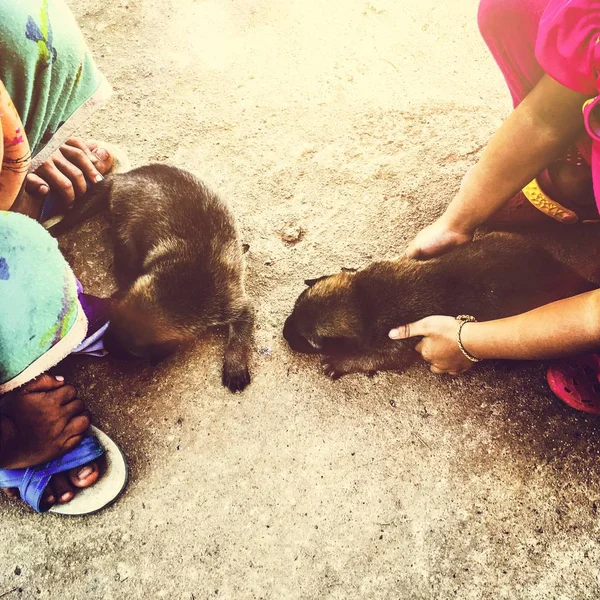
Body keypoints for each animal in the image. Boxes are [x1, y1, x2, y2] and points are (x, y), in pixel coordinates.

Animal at [48, 163, 251, 394]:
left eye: (133, 352)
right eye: (111, 324)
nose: (106, 348)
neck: (184, 287)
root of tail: (121, 178)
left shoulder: (239, 307)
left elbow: (239, 338)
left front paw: (235, 366)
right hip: (125, 236)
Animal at [284, 232, 592, 378]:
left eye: (310, 343)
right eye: (294, 308)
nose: (284, 334)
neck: (363, 301)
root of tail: (559, 270)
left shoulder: (392, 348)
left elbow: (369, 358)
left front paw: (339, 363)